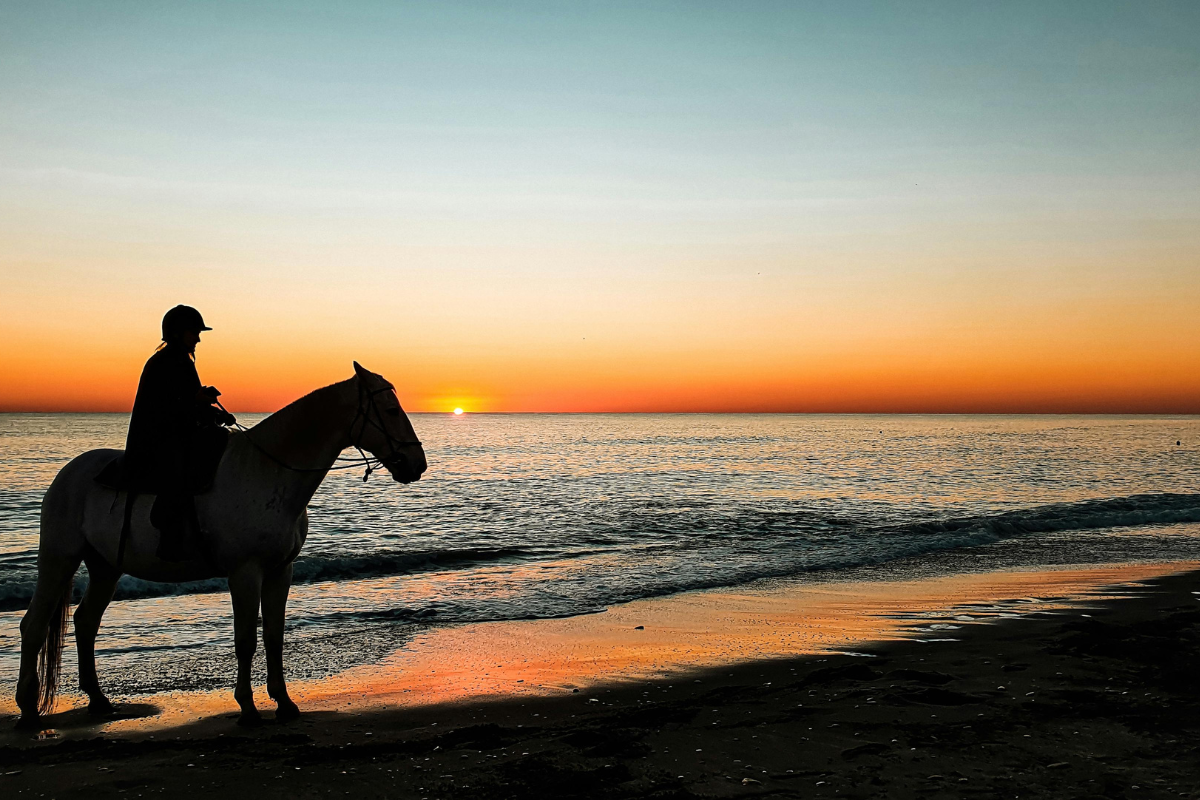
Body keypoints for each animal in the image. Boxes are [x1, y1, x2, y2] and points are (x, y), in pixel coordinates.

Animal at [12, 367, 427, 729]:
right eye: (391, 410)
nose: (416, 463)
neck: (268, 471)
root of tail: (68, 474)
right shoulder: (245, 572)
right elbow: (245, 640)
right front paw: (248, 709)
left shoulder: (280, 571)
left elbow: (273, 636)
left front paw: (284, 702)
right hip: (59, 558)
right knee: (33, 625)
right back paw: (28, 709)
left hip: (105, 567)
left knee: (86, 622)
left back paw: (98, 701)